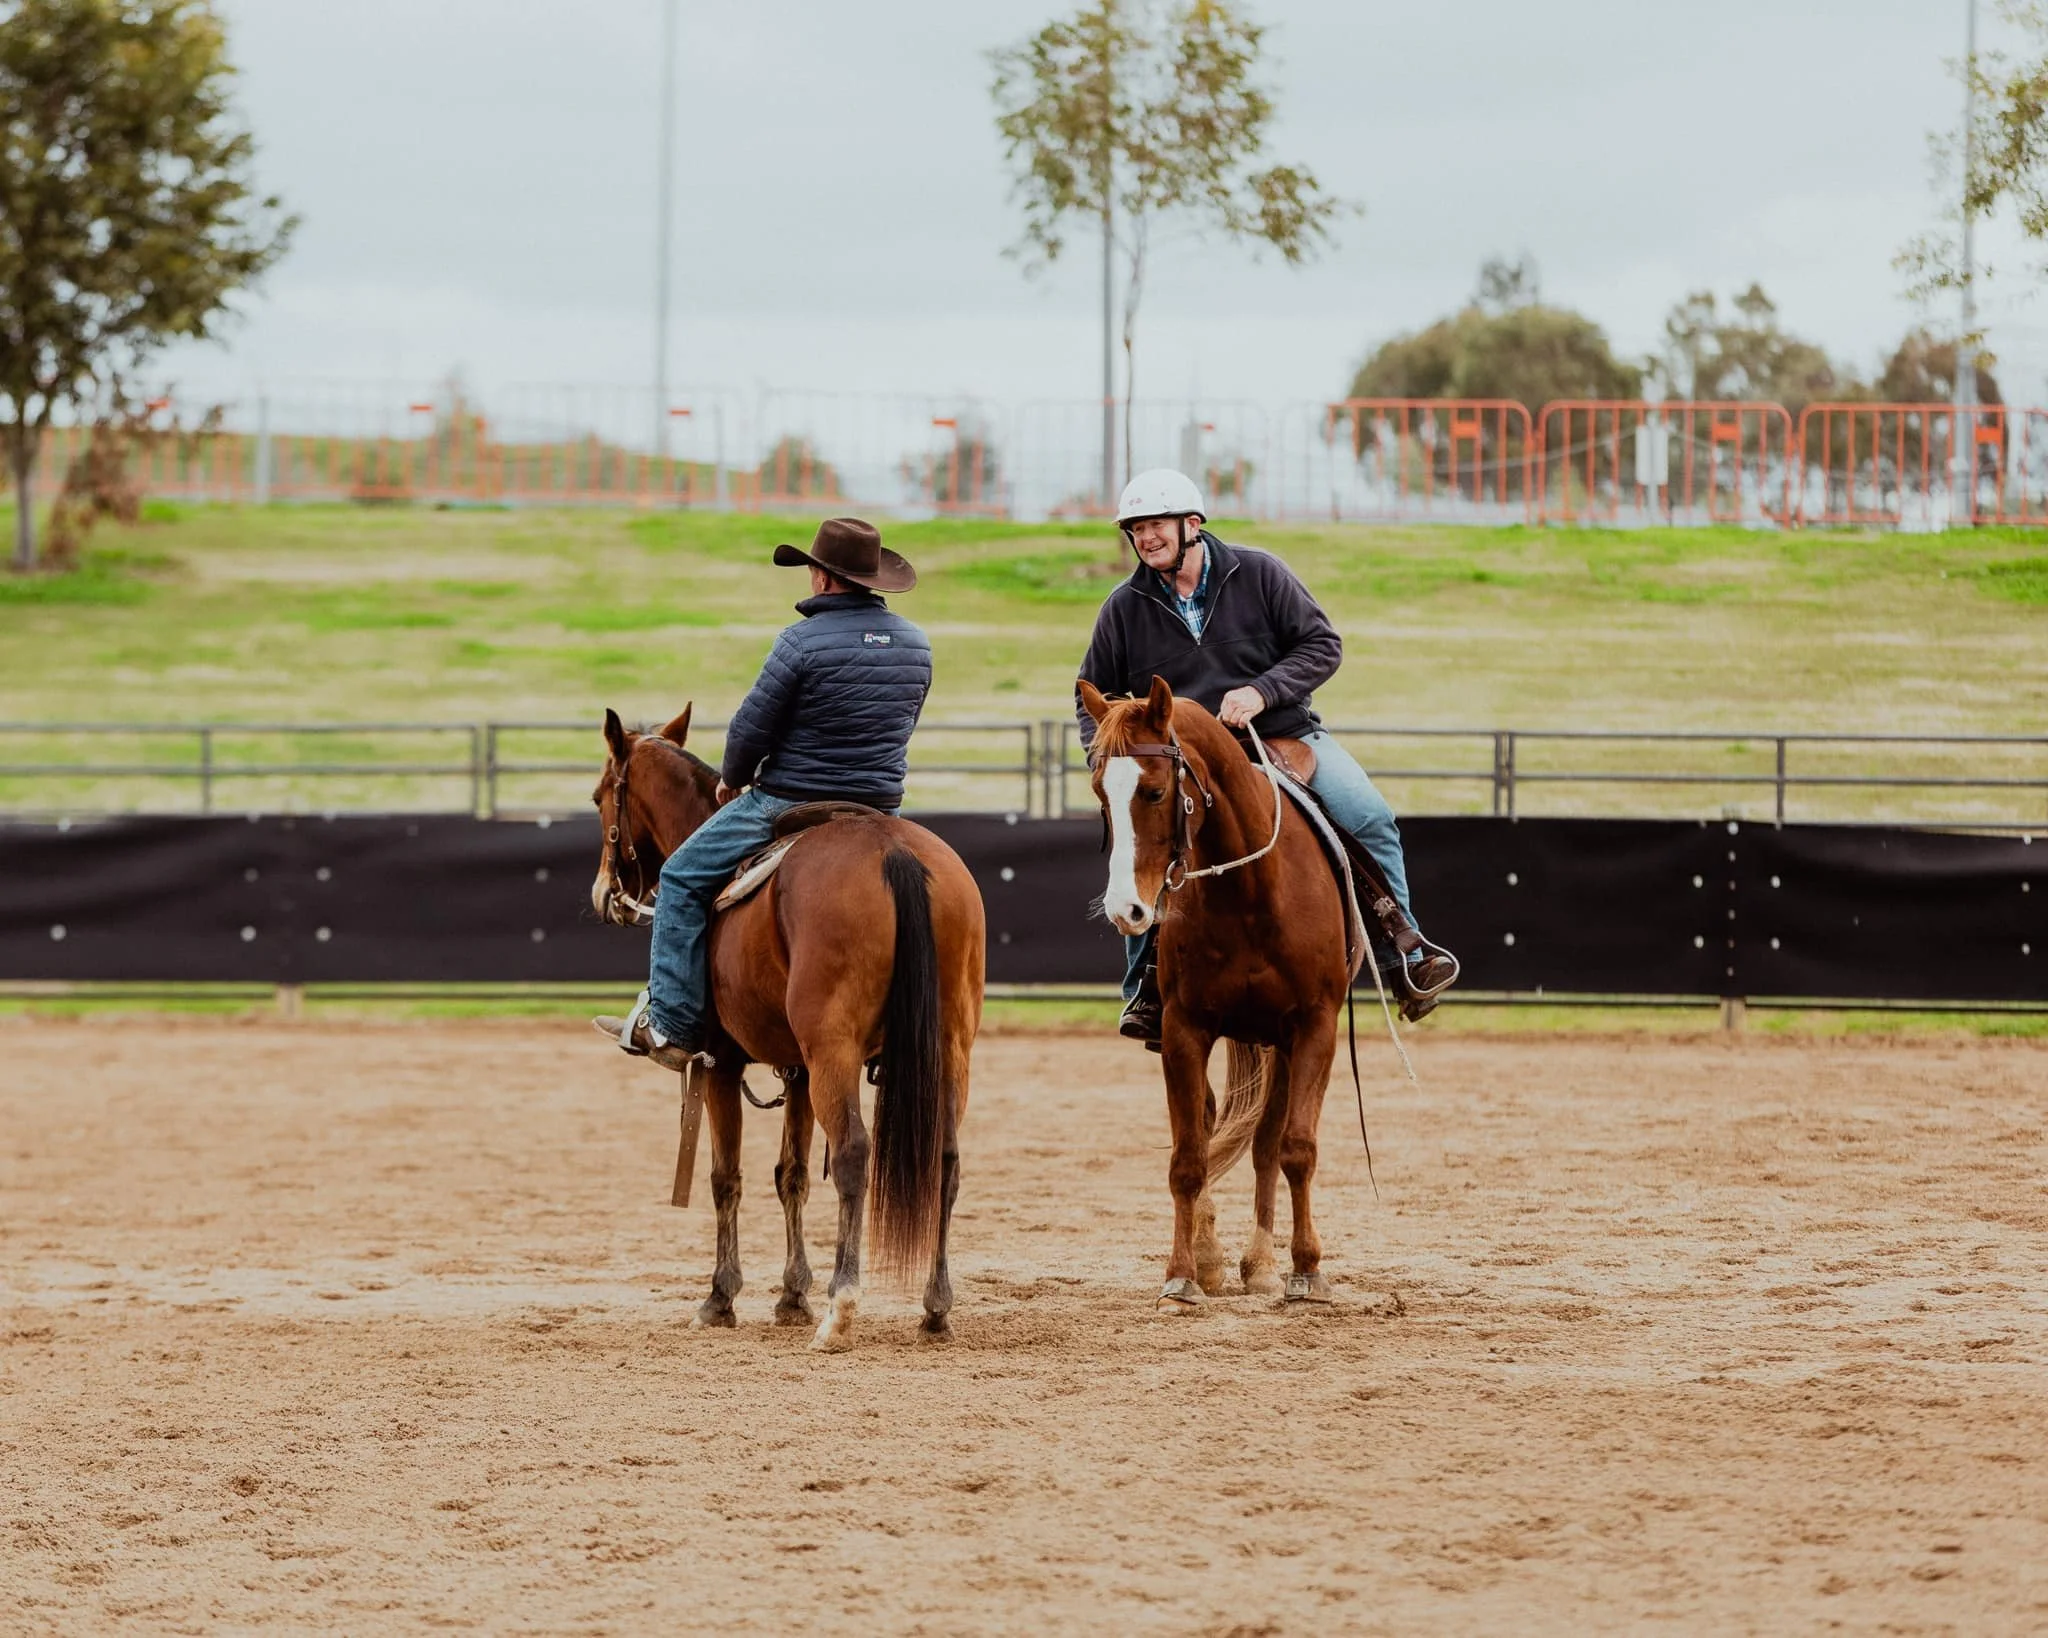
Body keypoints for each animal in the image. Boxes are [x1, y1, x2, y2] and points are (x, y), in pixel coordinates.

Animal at [589, 705, 985, 1351]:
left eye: (600, 795)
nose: (606, 893)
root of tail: (892, 851)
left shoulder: (721, 1064)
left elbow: (726, 1176)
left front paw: (721, 1297)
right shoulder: (796, 1069)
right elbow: (791, 1174)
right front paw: (792, 1293)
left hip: (834, 1053)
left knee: (852, 1155)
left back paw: (841, 1308)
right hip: (949, 1047)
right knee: (945, 1162)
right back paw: (935, 1308)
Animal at [1078, 675, 1358, 1315]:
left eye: (1155, 791)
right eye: (1101, 794)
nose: (1126, 910)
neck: (1249, 893)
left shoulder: (1313, 1028)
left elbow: (1296, 1148)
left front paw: (1307, 1271)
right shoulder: (1184, 1031)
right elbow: (1187, 1158)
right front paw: (1181, 1276)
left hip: (1282, 1045)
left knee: (1267, 1144)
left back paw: (1263, 1265)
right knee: (1209, 1130)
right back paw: (1212, 1259)